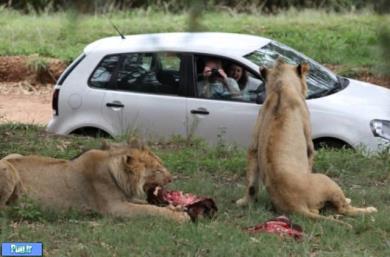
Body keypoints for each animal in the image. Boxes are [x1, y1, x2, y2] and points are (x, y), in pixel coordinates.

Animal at [0, 139, 190, 221]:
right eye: (158, 169)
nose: (171, 177)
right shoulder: (115, 208)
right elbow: (150, 210)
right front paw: (181, 216)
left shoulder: (125, 199)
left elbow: (149, 204)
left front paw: (177, 208)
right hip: (8, 169)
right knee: (3, 209)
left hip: (13, 155)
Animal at [236, 58, 376, 226]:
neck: (280, 87)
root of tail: (295, 205)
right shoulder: (309, 145)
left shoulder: (254, 145)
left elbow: (251, 184)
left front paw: (244, 202)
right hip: (324, 179)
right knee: (344, 208)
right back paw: (367, 209)